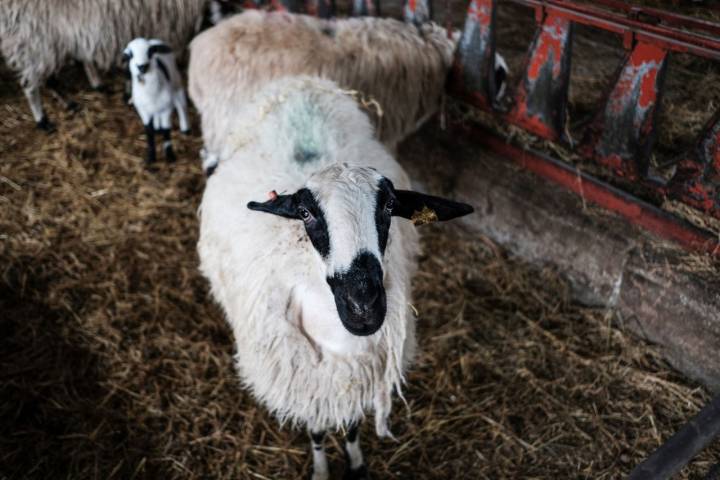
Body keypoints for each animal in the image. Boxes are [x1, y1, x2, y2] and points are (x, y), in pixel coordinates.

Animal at [0, 0, 208, 130]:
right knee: (30, 84)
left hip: (51, 38)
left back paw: (71, 100)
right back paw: (42, 120)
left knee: (50, 75)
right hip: (33, 37)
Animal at [195, 73, 472, 478]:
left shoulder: (355, 375)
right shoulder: (311, 380)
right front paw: (322, 468)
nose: (363, 306)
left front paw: (355, 463)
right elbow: (317, 430)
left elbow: (353, 425)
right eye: (305, 213)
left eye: (390, 206)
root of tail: (299, 82)